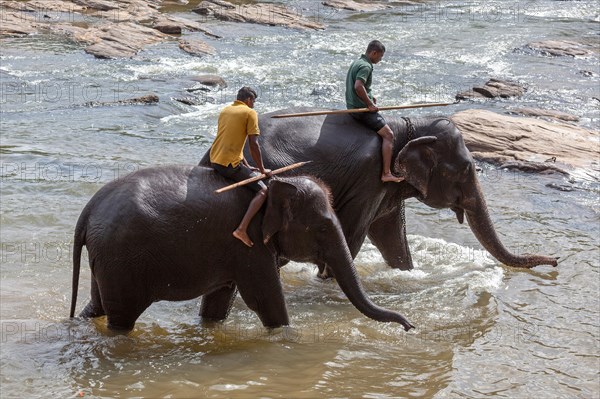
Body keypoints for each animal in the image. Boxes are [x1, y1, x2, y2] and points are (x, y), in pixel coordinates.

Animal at [70, 166, 414, 334]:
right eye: (321, 229)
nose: (409, 327)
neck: (276, 183)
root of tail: (87, 212)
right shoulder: (248, 244)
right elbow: (265, 299)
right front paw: (287, 336)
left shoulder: (235, 250)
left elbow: (220, 301)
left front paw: (211, 327)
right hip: (120, 259)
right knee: (121, 319)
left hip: (107, 259)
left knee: (97, 306)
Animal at [200, 108, 556, 278]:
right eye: (465, 170)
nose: (555, 261)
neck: (407, 124)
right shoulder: (368, 178)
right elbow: (354, 234)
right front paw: (327, 280)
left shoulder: (387, 187)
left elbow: (392, 236)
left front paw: (407, 272)